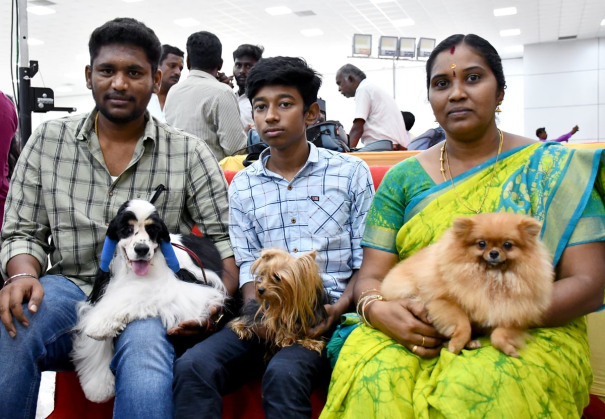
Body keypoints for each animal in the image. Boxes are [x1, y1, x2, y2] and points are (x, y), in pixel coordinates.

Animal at [71, 200, 226, 404]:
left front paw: (100, 325)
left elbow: (138, 291)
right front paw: (98, 386)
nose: (142, 249)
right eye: (127, 229)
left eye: (153, 230)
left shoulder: (191, 289)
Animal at [382, 213, 552, 358]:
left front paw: (508, 348)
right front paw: (456, 344)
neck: (492, 277)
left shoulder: (511, 314)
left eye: (508, 245)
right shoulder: (443, 302)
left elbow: (499, 334)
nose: (494, 253)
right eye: (481, 244)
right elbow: (464, 324)